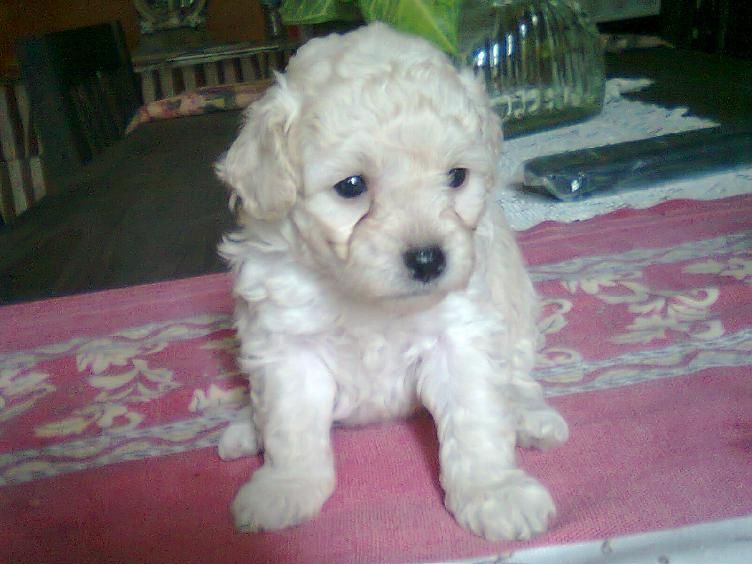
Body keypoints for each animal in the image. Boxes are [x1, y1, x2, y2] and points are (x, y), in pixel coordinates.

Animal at [215, 22, 569, 541]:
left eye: (456, 177)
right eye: (351, 186)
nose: (427, 259)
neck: (365, 297)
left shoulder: (459, 335)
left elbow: (477, 420)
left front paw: (495, 492)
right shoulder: (287, 343)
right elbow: (290, 425)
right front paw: (285, 488)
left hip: (516, 307)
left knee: (517, 375)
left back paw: (530, 416)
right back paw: (246, 428)